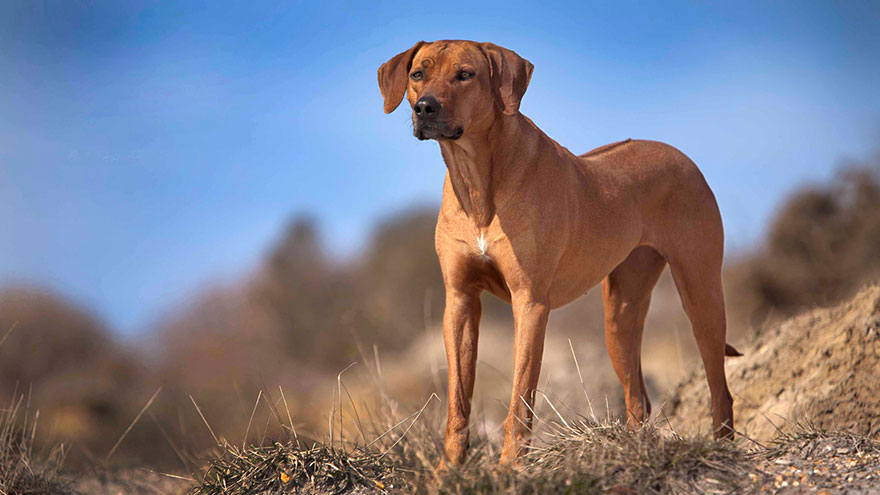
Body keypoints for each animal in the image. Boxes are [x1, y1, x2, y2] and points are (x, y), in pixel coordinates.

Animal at [380, 40, 744, 466]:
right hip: (619, 317)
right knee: (638, 397)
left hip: (701, 294)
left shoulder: (530, 303)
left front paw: (508, 468)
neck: (475, 179)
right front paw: (448, 470)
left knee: (720, 391)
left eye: (465, 74)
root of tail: (682, 157)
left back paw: (720, 451)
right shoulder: (459, 300)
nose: (425, 108)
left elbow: (520, 400)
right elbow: (458, 399)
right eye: (418, 74)